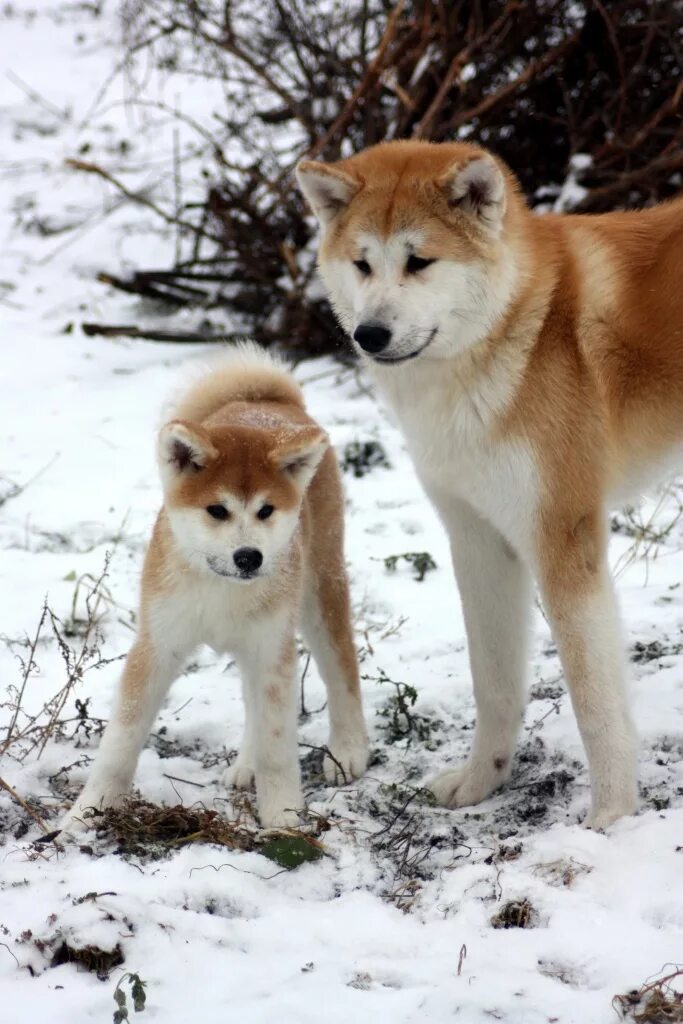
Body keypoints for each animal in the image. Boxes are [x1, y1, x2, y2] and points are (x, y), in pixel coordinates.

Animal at [62, 344, 370, 831]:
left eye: (266, 510)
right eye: (216, 510)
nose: (249, 557)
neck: (220, 588)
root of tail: (272, 402)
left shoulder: (271, 647)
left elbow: (278, 745)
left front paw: (283, 819)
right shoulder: (157, 645)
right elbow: (120, 743)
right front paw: (87, 814)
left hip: (319, 589)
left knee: (342, 669)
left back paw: (349, 748)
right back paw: (246, 763)